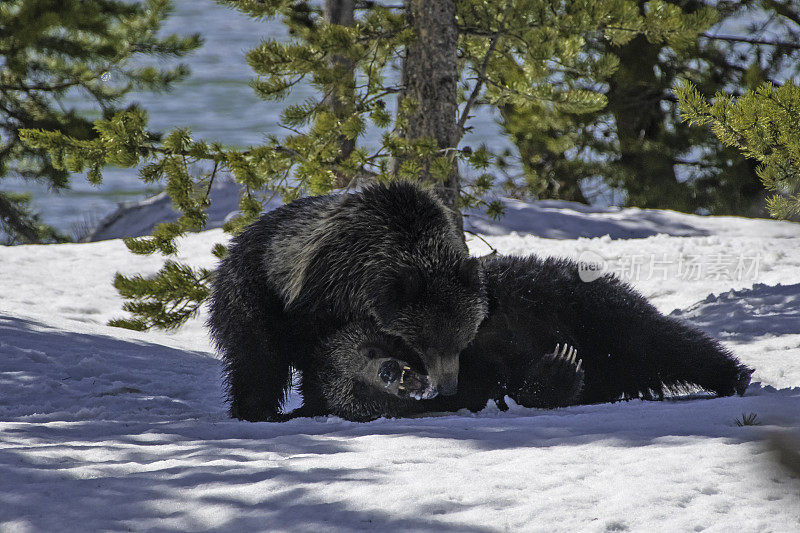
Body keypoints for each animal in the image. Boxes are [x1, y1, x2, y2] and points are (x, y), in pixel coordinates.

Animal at [290, 254, 756, 420]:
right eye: (357, 390)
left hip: (594, 308)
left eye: (369, 348)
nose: (389, 372)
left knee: (664, 340)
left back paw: (732, 373)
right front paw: (560, 367)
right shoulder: (476, 388)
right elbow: (514, 388)